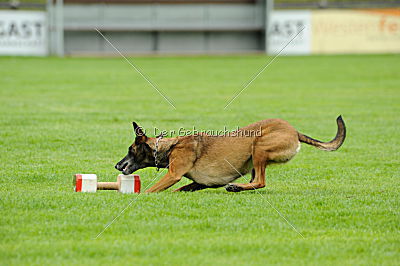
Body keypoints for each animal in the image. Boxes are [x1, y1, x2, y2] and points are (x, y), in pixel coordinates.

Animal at [114, 115, 346, 192]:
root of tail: (294, 131)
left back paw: (236, 187)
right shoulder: (198, 184)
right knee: (256, 181)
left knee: (261, 181)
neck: (169, 147)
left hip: (259, 146)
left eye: (130, 150)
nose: (117, 165)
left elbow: (150, 191)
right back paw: (239, 187)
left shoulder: (173, 174)